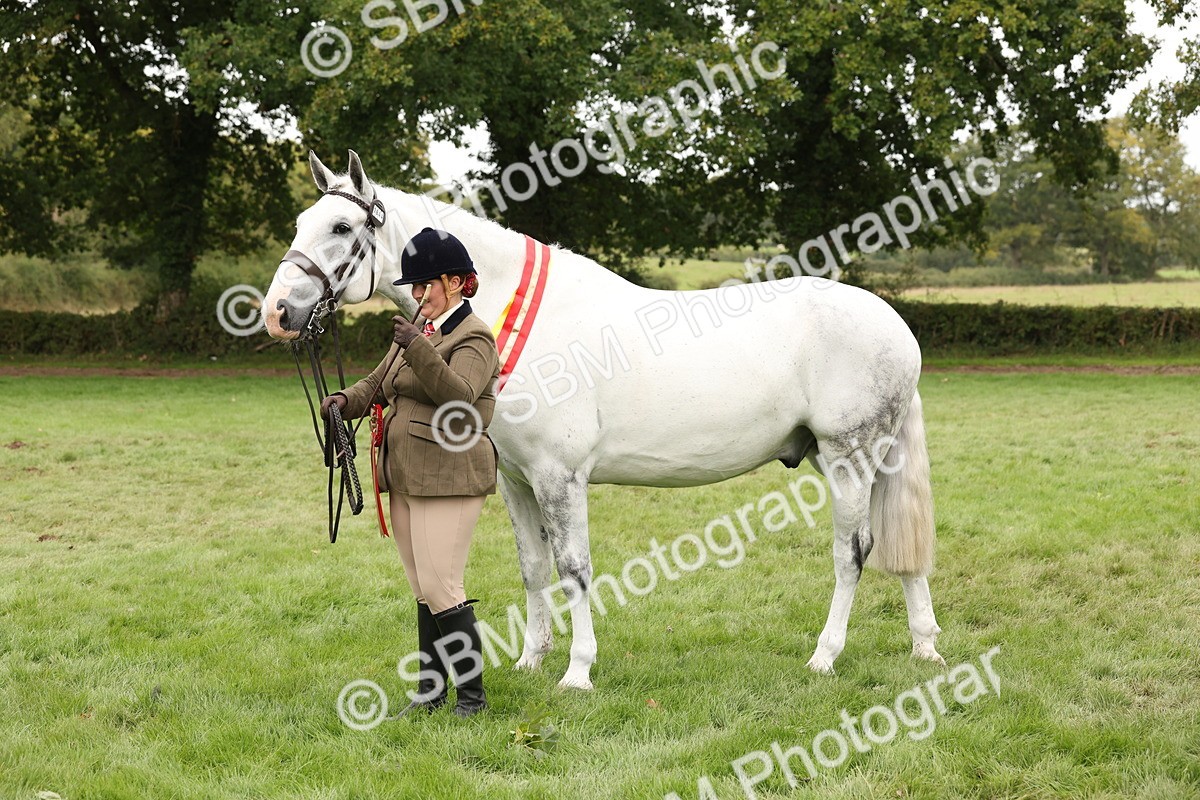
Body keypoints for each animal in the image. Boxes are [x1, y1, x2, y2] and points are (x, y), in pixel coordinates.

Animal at [263, 150, 944, 690]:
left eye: (342, 225)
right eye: (301, 223)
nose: (276, 313)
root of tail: (897, 328)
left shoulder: (559, 477)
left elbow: (574, 570)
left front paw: (578, 670)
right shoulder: (516, 480)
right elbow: (534, 568)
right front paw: (532, 661)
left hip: (848, 456)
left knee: (853, 551)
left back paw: (826, 656)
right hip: (863, 458)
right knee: (900, 546)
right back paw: (924, 647)